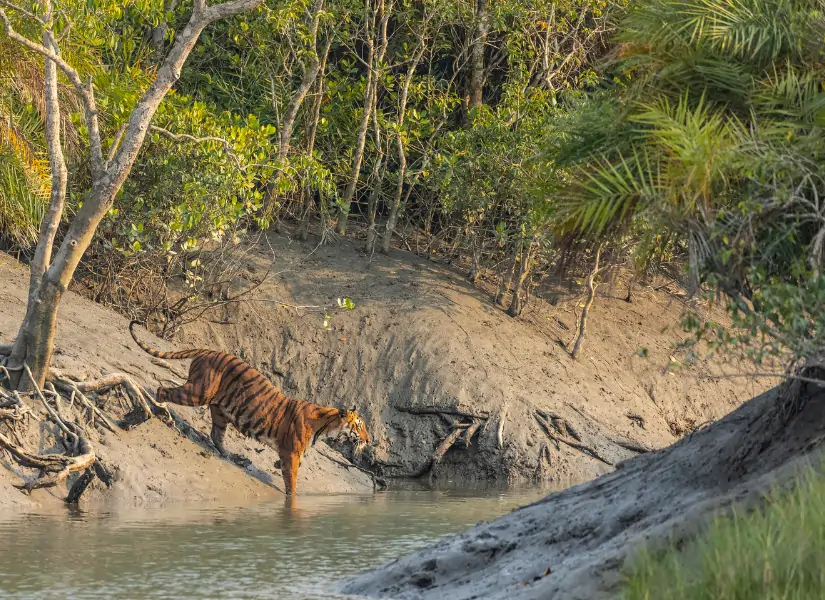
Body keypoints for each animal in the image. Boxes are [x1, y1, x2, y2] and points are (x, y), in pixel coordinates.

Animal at [128, 321, 371, 495]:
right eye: (359, 426)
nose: (368, 441)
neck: (326, 427)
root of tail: (207, 351)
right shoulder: (292, 454)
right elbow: (291, 482)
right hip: (198, 392)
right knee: (162, 390)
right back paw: (161, 410)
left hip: (220, 410)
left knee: (216, 434)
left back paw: (232, 456)